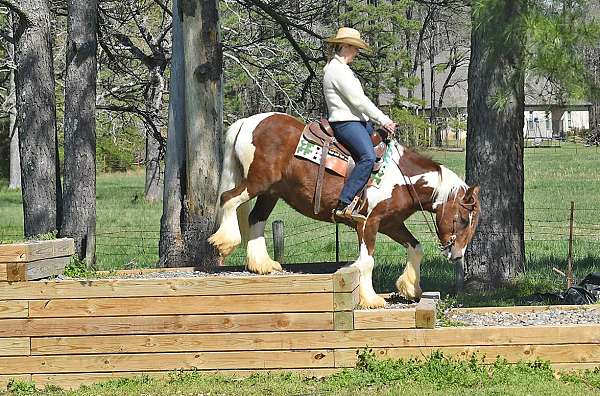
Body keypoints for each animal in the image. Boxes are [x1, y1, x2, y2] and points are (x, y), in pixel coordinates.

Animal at [209, 113, 480, 308]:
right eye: (463, 219)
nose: (457, 255)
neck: (400, 177)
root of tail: (248, 122)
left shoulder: (391, 224)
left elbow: (416, 248)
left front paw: (410, 288)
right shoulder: (368, 223)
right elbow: (367, 261)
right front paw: (372, 299)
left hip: (270, 192)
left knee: (256, 219)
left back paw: (262, 264)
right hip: (257, 183)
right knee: (228, 199)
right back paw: (226, 242)